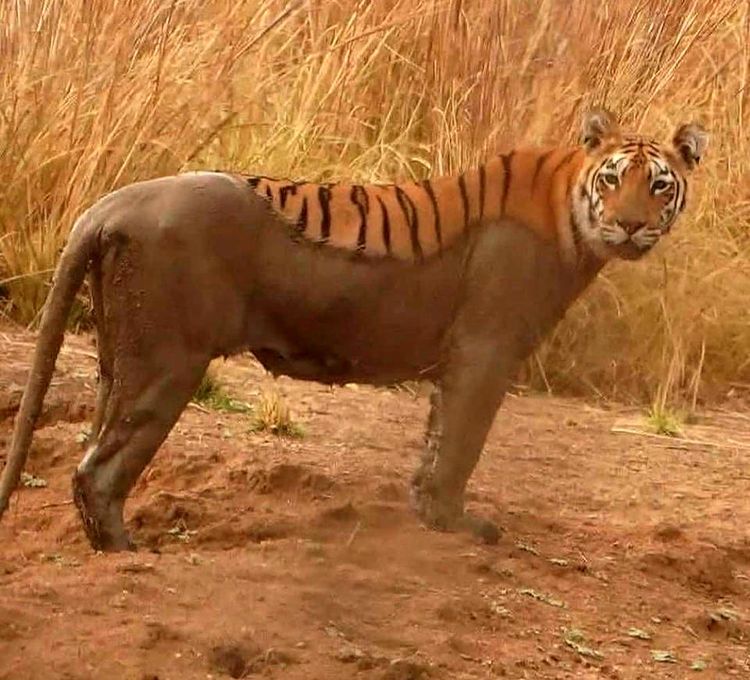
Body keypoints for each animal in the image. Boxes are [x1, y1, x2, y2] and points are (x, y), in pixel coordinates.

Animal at [0, 107, 708, 552]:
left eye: (659, 186)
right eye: (613, 180)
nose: (629, 225)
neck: (572, 217)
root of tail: (112, 201)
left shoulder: (459, 365)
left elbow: (436, 442)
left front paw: (427, 514)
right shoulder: (486, 355)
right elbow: (461, 446)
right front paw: (455, 525)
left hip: (119, 358)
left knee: (94, 447)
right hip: (167, 363)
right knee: (97, 469)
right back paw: (128, 550)